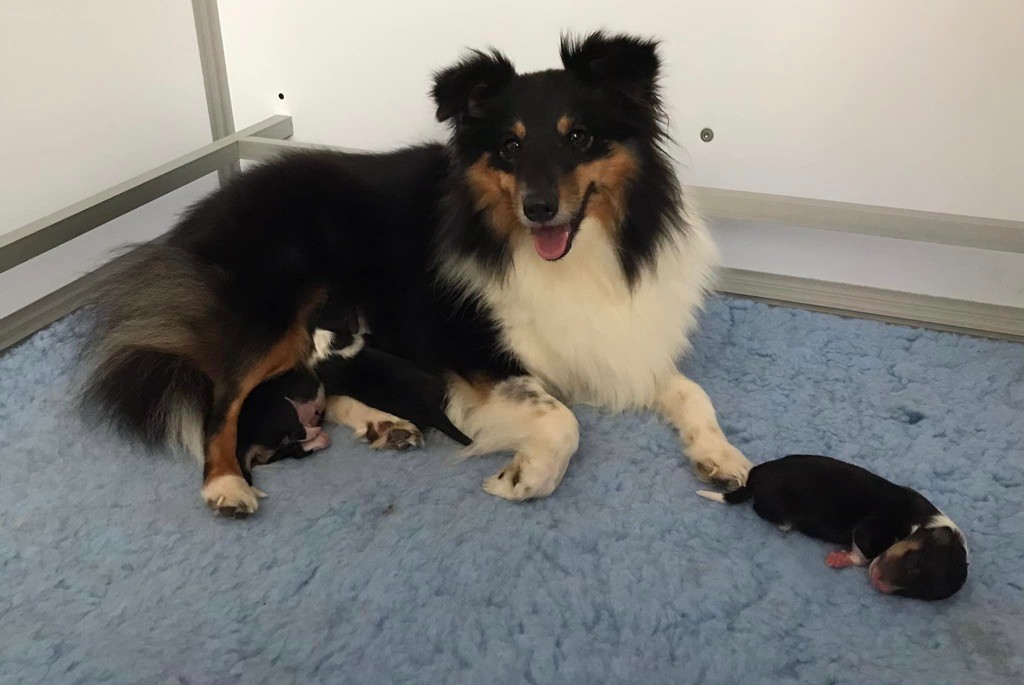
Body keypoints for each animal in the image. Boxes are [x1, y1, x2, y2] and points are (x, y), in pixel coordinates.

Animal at [696, 456, 966, 602]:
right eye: (915, 564)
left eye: (914, 594)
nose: (878, 583)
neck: (923, 522)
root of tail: (755, 477)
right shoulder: (869, 528)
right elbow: (862, 551)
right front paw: (842, 558)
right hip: (774, 504)